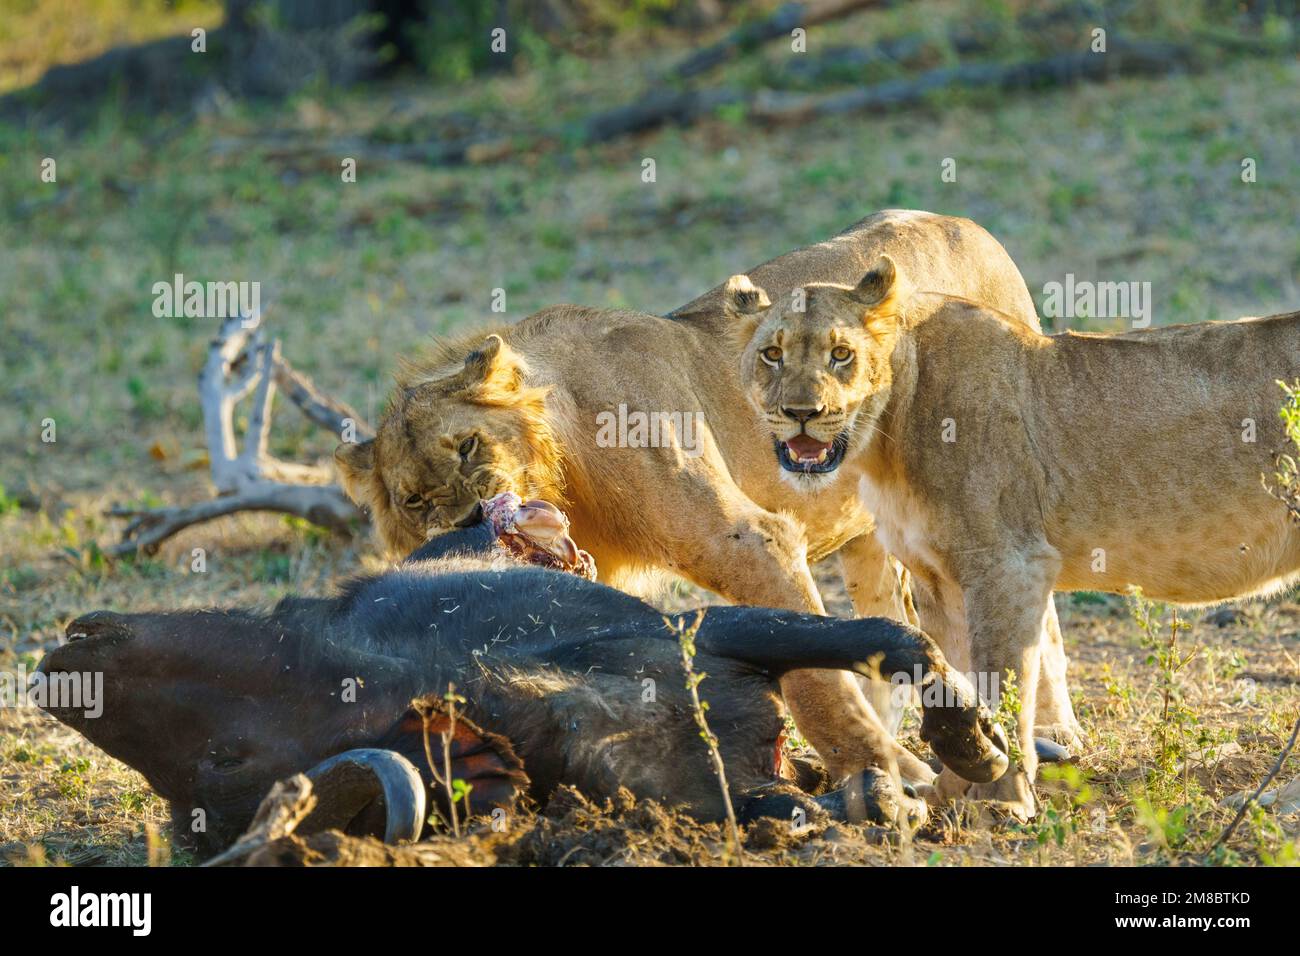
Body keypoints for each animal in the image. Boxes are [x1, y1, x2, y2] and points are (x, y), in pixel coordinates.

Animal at [332, 210, 1066, 806]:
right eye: (413, 499)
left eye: (470, 444)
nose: (468, 517)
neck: (567, 453)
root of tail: (965, 223)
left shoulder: (749, 538)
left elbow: (814, 681)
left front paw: (885, 776)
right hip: (868, 534)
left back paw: (1057, 738)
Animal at [733, 256, 1300, 822]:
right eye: (772, 354)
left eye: (842, 354)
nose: (800, 413)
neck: (886, 435)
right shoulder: (938, 578)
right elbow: (954, 680)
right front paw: (952, 791)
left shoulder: (1008, 563)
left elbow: (1000, 677)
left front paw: (1001, 802)